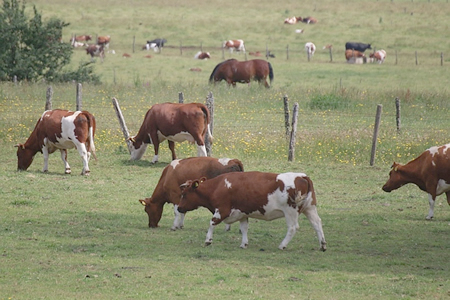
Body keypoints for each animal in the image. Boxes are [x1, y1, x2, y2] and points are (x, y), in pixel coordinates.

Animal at [178, 171, 326, 251]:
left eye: (184, 194)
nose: (179, 208)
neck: (217, 186)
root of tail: (301, 176)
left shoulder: (222, 210)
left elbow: (212, 223)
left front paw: (208, 240)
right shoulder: (243, 212)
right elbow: (244, 228)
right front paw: (244, 243)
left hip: (290, 211)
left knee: (293, 227)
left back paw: (282, 245)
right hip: (310, 208)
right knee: (317, 223)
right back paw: (322, 245)